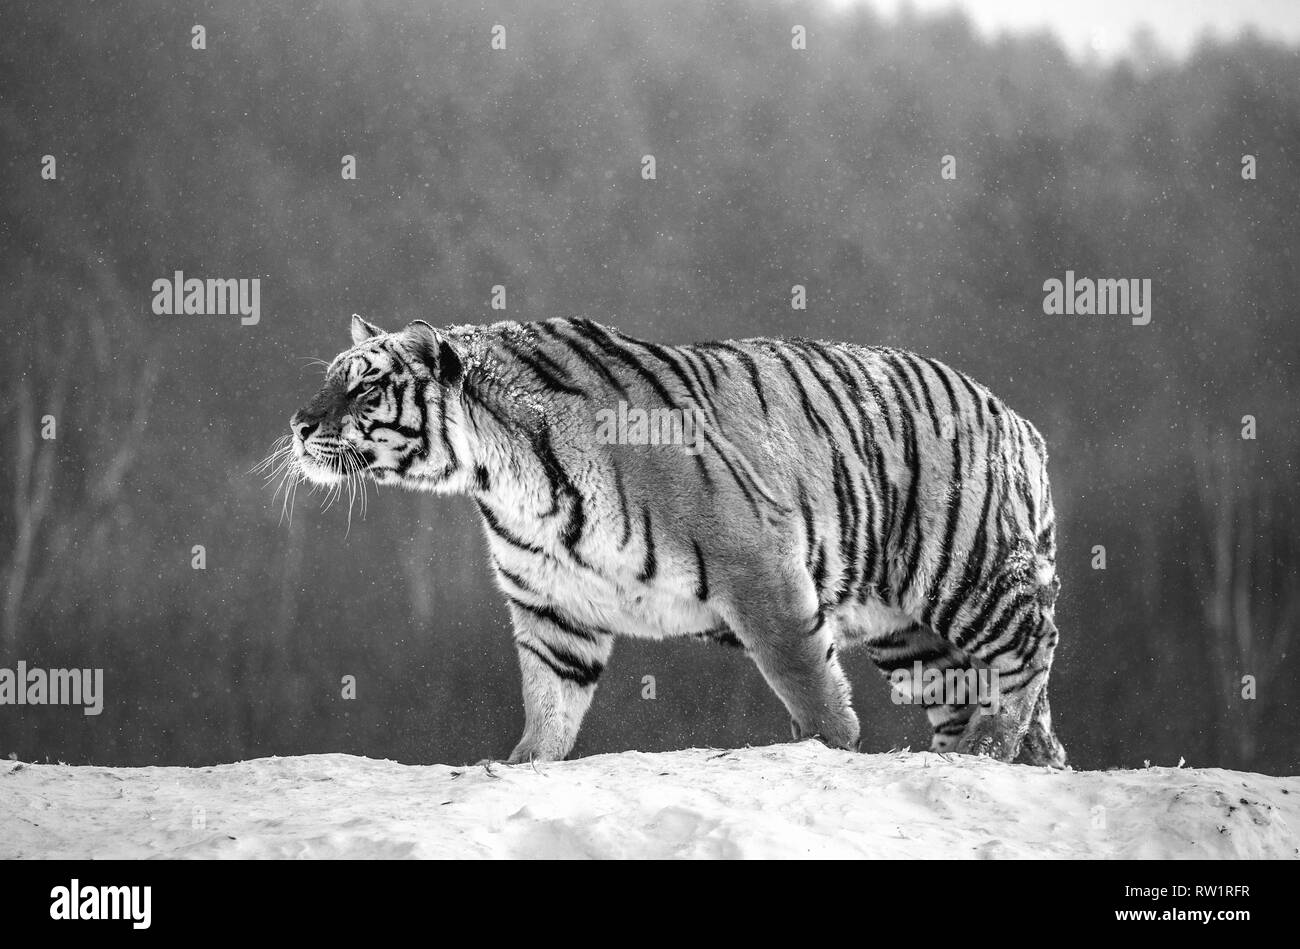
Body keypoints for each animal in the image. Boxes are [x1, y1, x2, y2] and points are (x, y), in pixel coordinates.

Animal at [282, 314, 1066, 764]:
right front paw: (520, 764)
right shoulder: (552, 606)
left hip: (966, 570)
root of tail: (1019, 419)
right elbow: (549, 700)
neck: (498, 475)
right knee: (966, 686)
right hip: (906, 630)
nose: (297, 422)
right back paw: (968, 758)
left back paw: (989, 747)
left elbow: (803, 673)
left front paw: (831, 746)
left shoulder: (758, 564)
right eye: (332, 379)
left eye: (364, 388)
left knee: (1031, 645)